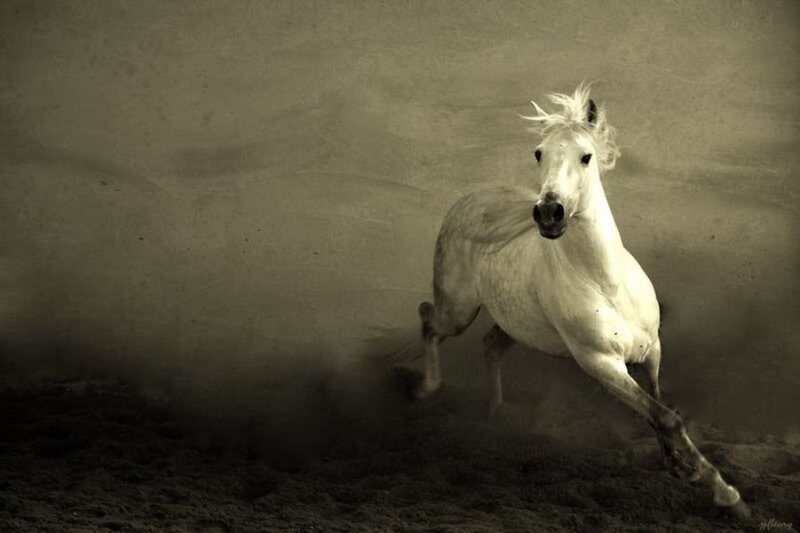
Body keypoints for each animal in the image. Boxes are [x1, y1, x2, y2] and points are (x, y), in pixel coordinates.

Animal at [414, 84, 749, 519]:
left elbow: (661, 409)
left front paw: (679, 467)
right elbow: (664, 417)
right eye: (538, 152)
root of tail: (466, 200)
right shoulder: (601, 364)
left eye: (586, 156)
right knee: (428, 319)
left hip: (516, 324)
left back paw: (496, 414)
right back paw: (427, 390)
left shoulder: (652, 351)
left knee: (490, 345)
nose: (549, 213)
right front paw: (726, 494)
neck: (607, 284)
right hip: (459, 310)